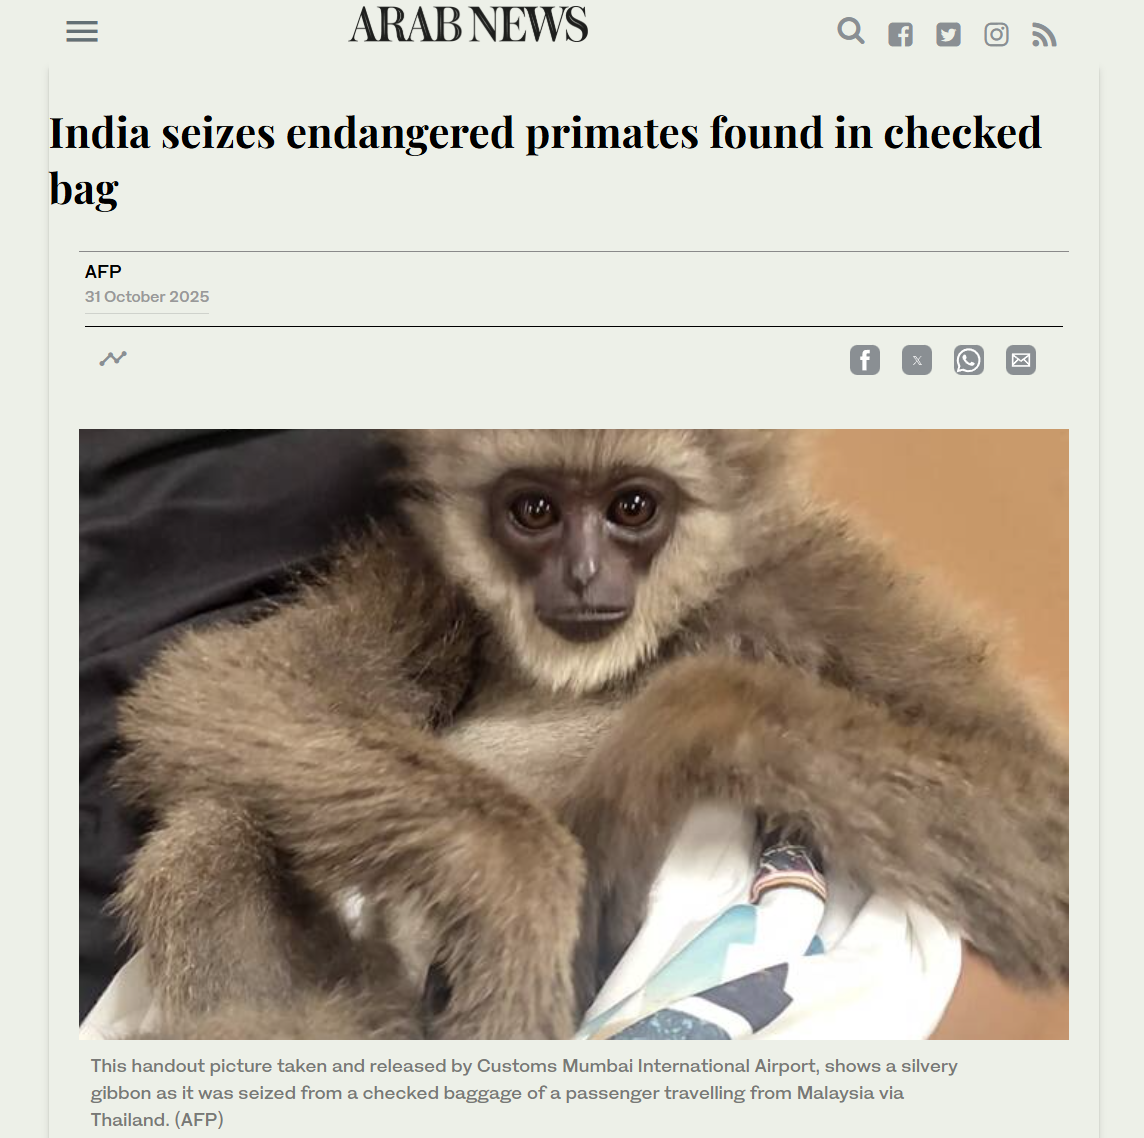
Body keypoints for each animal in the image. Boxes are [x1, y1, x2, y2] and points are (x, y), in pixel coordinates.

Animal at [110, 430, 1068, 1040]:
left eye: (632, 506)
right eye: (534, 510)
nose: (581, 573)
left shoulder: (805, 574)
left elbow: (1039, 817)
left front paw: (677, 725)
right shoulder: (422, 577)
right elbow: (225, 684)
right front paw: (516, 879)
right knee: (217, 822)